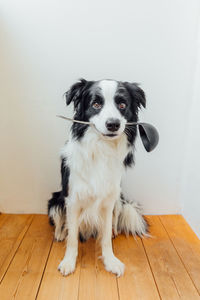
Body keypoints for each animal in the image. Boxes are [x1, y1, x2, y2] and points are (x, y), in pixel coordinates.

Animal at [48, 79, 148, 276]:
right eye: (96, 104)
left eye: (122, 105)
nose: (113, 124)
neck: (101, 147)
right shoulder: (72, 199)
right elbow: (72, 237)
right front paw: (68, 262)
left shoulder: (109, 200)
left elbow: (106, 237)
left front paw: (110, 261)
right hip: (56, 199)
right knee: (60, 222)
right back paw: (60, 233)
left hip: (119, 200)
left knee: (114, 223)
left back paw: (114, 232)